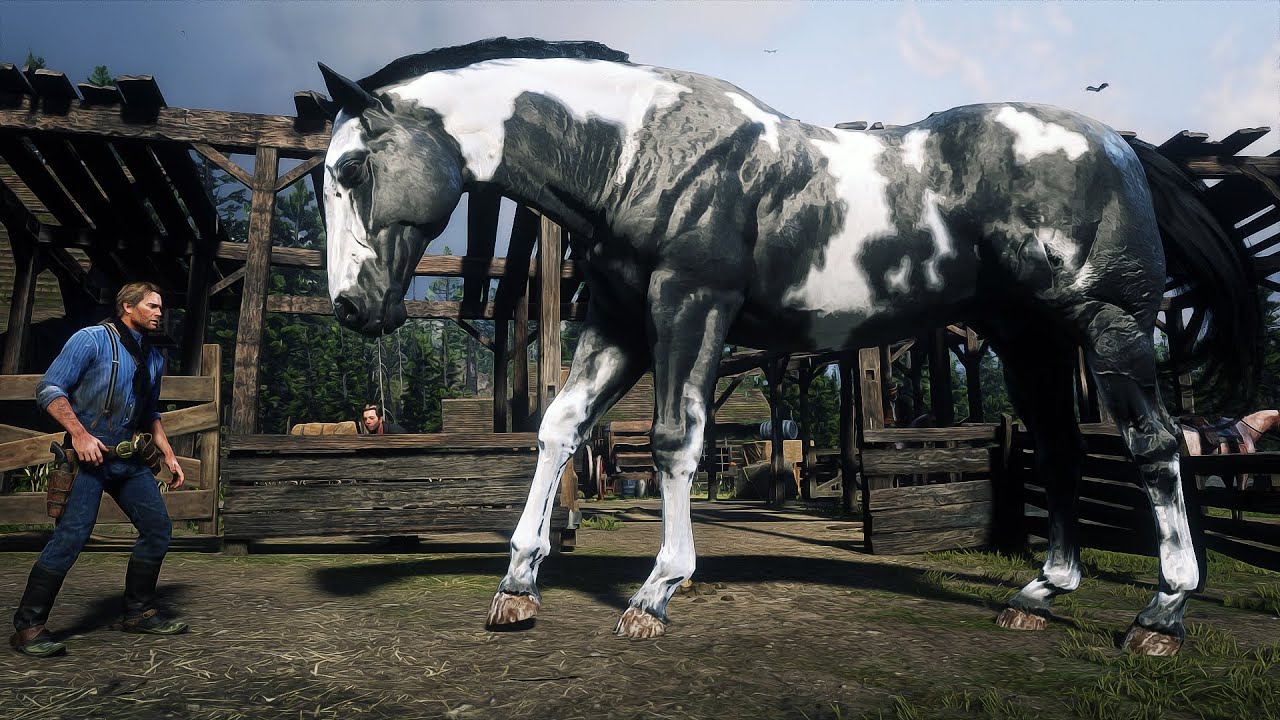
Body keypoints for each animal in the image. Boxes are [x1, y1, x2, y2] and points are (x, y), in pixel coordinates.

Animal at [315, 38, 1261, 656]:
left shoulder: (690, 305)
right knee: (1061, 449)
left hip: (1107, 325)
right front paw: (517, 587)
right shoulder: (620, 322)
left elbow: (676, 440)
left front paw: (656, 592)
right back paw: (1039, 594)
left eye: (352, 170)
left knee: (1154, 445)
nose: (351, 308)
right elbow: (559, 427)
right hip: (1026, 338)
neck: (641, 152)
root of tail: (1119, 146)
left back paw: (1161, 614)